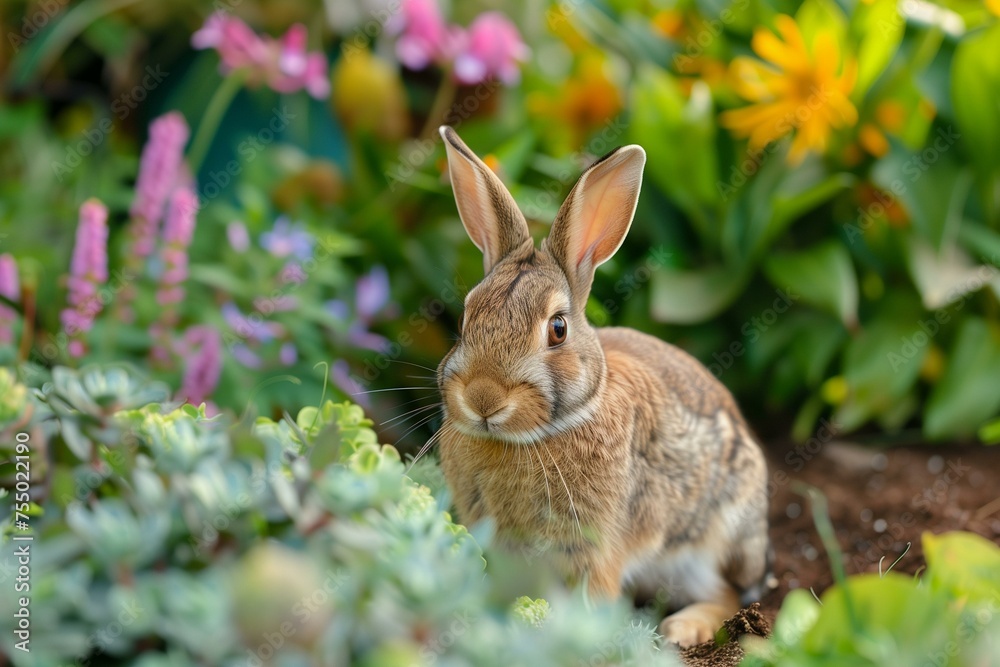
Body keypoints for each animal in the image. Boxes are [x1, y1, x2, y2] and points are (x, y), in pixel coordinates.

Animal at [434, 126, 772, 647]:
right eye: (464, 320)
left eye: (557, 329)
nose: (482, 399)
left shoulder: (598, 549)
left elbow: (594, 597)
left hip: (706, 547)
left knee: (727, 593)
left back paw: (681, 629)